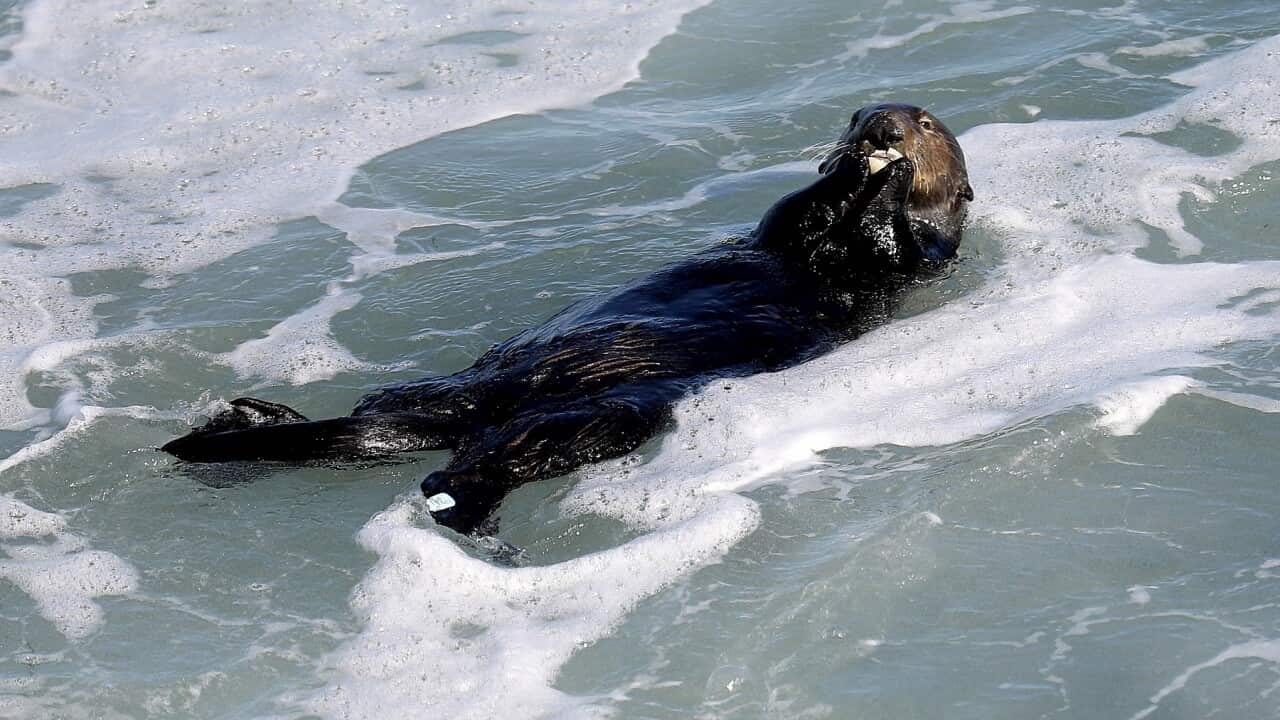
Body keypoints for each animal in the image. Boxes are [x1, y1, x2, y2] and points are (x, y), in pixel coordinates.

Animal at [163, 103, 974, 535]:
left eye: (927, 122)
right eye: (857, 112)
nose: (879, 127)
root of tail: (482, 409)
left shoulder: (921, 264)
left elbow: (910, 250)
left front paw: (889, 186)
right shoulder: (786, 226)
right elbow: (799, 214)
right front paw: (852, 172)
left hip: (598, 416)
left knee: (480, 459)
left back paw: (459, 509)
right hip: (455, 392)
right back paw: (248, 416)